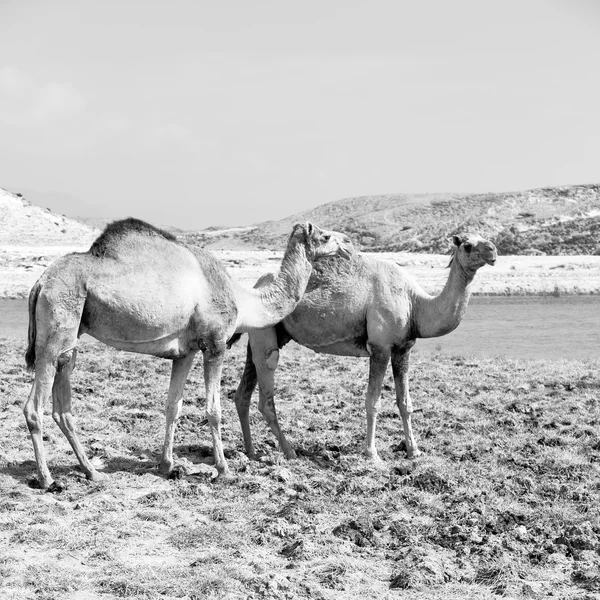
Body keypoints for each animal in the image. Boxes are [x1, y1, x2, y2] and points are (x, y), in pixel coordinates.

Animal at [23, 218, 352, 490]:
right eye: (325, 236)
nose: (348, 244)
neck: (242, 298)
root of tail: (39, 283)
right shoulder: (215, 343)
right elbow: (213, 410)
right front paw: (224, 469)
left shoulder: (187, 351)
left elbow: (173, 406)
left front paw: (167, 466)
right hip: (56, 326)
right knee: (34, 406)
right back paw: (48, 479)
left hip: (72, 337)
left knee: (62, 404)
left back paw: (92, 472)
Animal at [233, 232, 496, 462]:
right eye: (467, 245)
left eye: (485, 238)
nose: (493, 251)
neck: (415, 303)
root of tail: (254, 288)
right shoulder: (380, 347)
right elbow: (373, 401)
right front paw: (372, 454)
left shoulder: (403, 348)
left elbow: (405, 403)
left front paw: (414, 451)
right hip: (266, 336)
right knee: (266, 391)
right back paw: (289, 452)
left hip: (267, 335)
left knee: (243, 393)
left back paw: (251, 452)